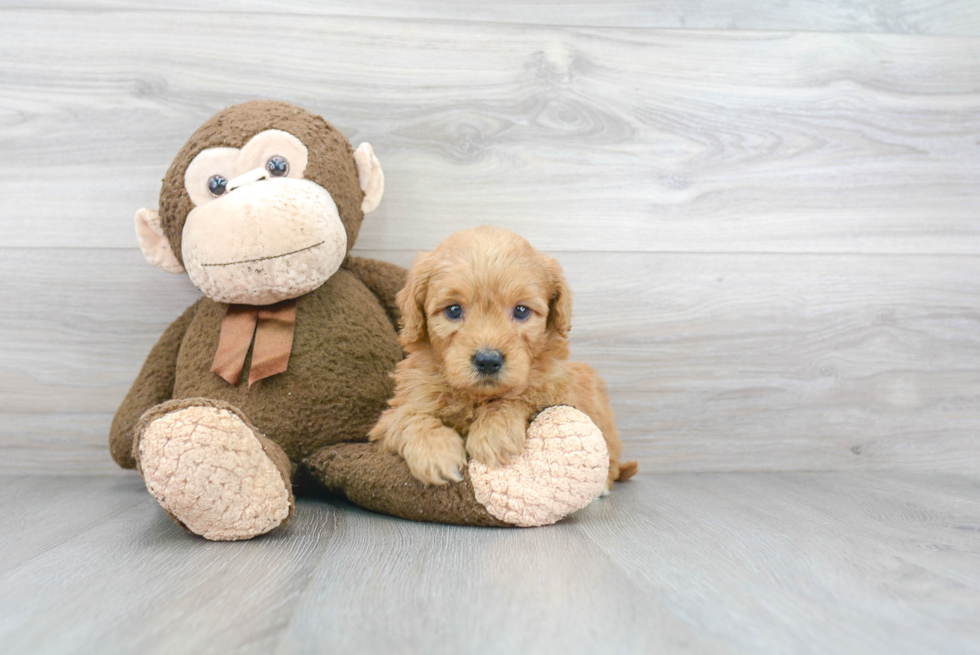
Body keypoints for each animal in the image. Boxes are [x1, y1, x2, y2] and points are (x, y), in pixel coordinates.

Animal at [372, 224, 640, 486]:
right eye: (454, 310)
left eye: (521, 311)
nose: (488, 361)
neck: (477, 398)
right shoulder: (393, 415)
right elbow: (408, 418)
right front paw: (436, 452)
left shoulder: (562, 394)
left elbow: (523, 395)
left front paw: (493, 433)